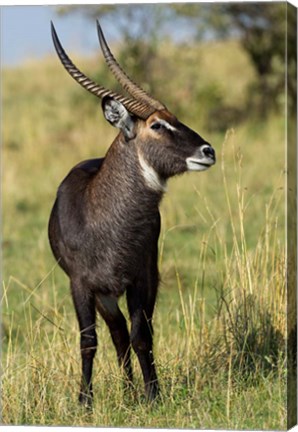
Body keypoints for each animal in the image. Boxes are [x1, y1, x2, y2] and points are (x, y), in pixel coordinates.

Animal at [49, 19, 217, 404]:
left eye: (175, 118)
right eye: (156, 125)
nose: (208, 151)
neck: (104, 219)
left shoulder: (141, 277)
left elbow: (143, 335)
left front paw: (153, 394)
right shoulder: (81, 285)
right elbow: (89, 341)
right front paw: (84, 402)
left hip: (135, 283)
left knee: (131, 332)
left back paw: (132, 390)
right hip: (104, 294)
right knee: (116, 333)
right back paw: (124, 391)